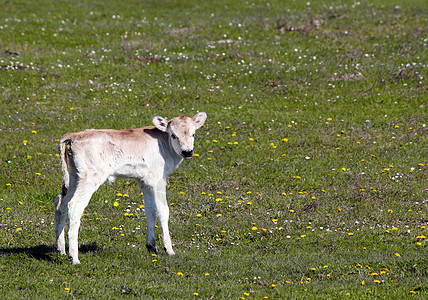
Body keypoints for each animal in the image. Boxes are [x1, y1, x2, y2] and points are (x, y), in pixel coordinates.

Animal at [53, 112, 207, 262]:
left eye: (193, 134)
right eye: (174, 135)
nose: (187, 151)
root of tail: (74, 135)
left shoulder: (145, 182)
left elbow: (150, 210)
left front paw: (151, 246)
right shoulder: (158, 180)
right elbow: (163, 211)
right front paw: (169, 250)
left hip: (75, 175)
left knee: (61, 201)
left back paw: (61, 249)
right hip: (91, 177)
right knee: (74, 206)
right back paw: (74, 257)